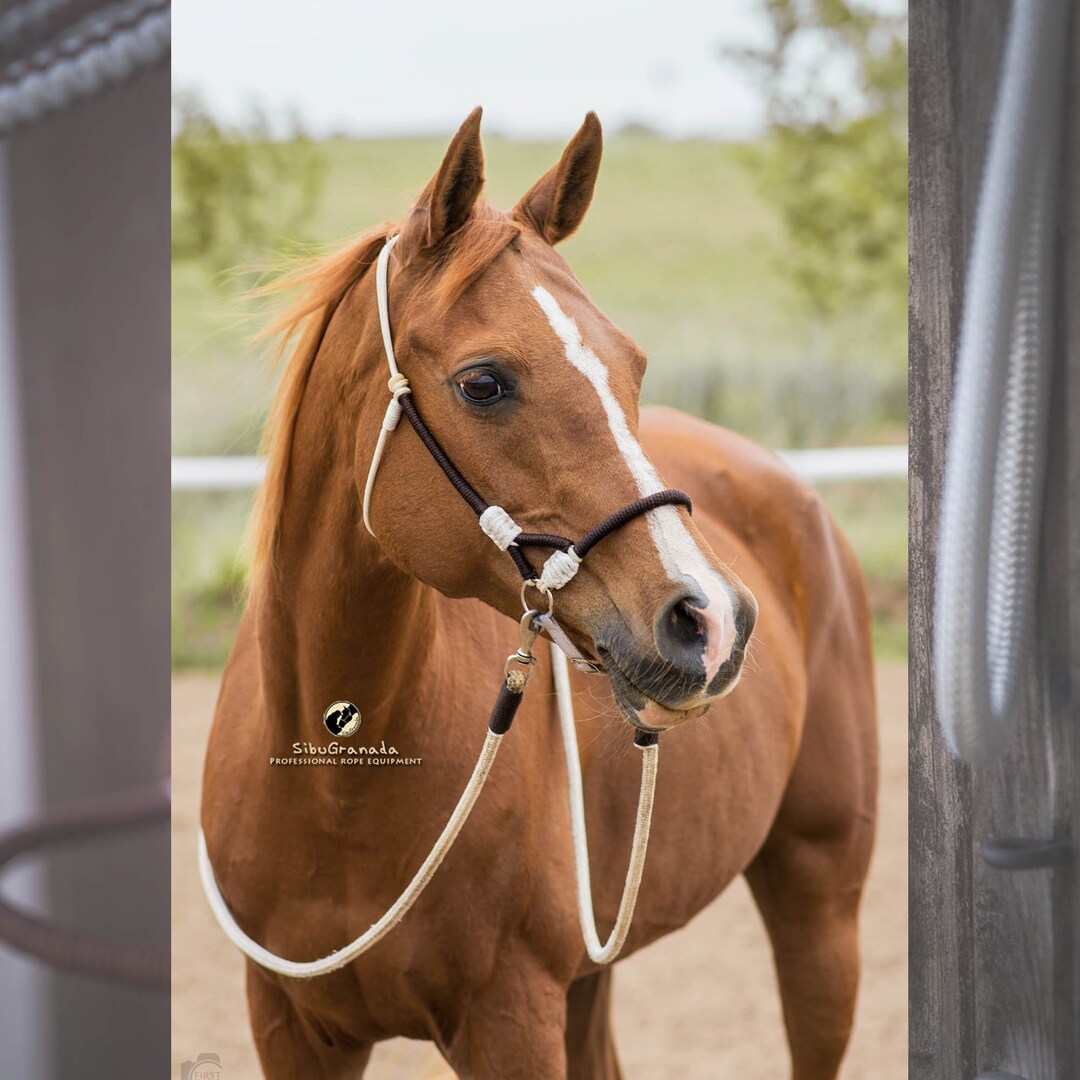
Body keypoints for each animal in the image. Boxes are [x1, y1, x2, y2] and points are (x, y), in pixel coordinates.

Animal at [201, 107, 878, 1079]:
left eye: (632, 367)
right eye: (485, 382)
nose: (710, 618)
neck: (337, 788)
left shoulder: (510, 1021)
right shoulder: (291, 1028)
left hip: (821, 905)